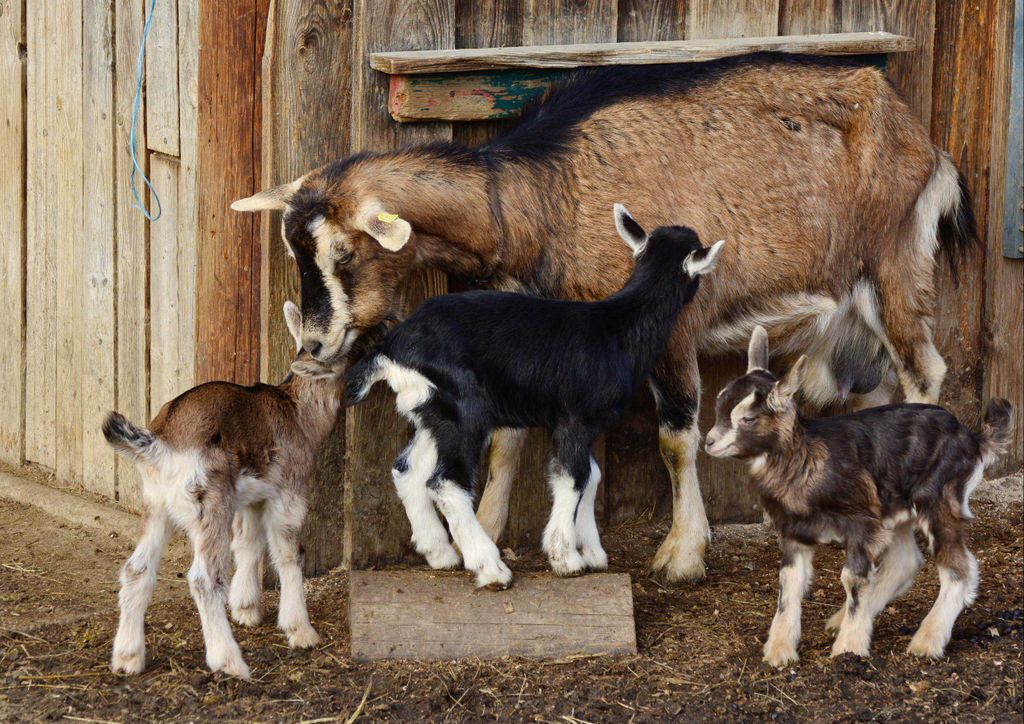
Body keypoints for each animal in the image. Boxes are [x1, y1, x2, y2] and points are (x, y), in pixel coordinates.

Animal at [104, 302, 339, 679]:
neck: (298, 412)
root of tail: (160, 444)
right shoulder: (289, 492)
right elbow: (289, 554)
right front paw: (300, 630)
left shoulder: (251, 497)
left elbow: (248, 543)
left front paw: (246, 609)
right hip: (209, 503)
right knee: (204, 578)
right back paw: (228, 660)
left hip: (156, 505)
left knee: (136, 569)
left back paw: (128, 657)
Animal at [344, 207, 723, 587]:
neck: (618, 326)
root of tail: (392, 348)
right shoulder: (575, 418)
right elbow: (574, 477)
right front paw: (565, 558)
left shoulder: (581, 425)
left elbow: (592, 476)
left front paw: (592, 552)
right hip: (464, 412)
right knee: (446, 482)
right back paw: (490, 568)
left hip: (432, 413)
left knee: (407, 470)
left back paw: (440, 554)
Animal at [705, 326, 1013, 666]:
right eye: (718, 407)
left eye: (747, 418)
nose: (709, 442)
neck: (806, 459)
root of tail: (972, 438)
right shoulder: (795, 530)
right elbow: (789, 583)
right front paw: (779, 651)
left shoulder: (861, 524)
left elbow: (852, 580)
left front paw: (848, 648)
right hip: (894, 508)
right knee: (906, 561)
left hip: (940, 499)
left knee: (959, 568)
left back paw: (927, 641)